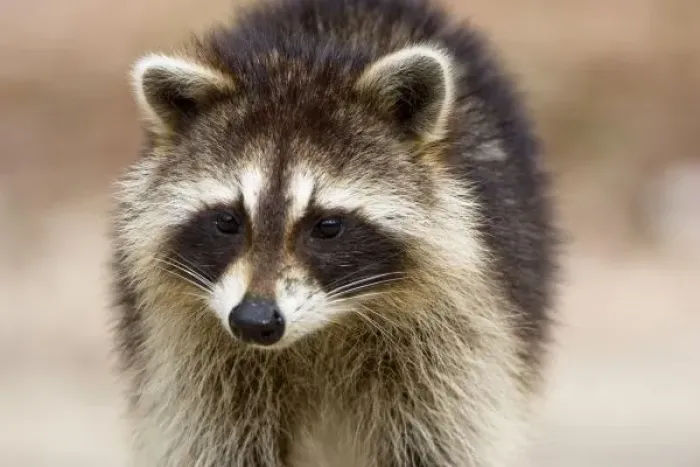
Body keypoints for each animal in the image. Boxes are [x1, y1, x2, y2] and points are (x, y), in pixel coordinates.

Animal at [110, 0, 558, 465]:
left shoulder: (454, 338)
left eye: (327, 226)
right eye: (227, 221)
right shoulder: (192, 353)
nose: (254, 321)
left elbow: (440, 439)